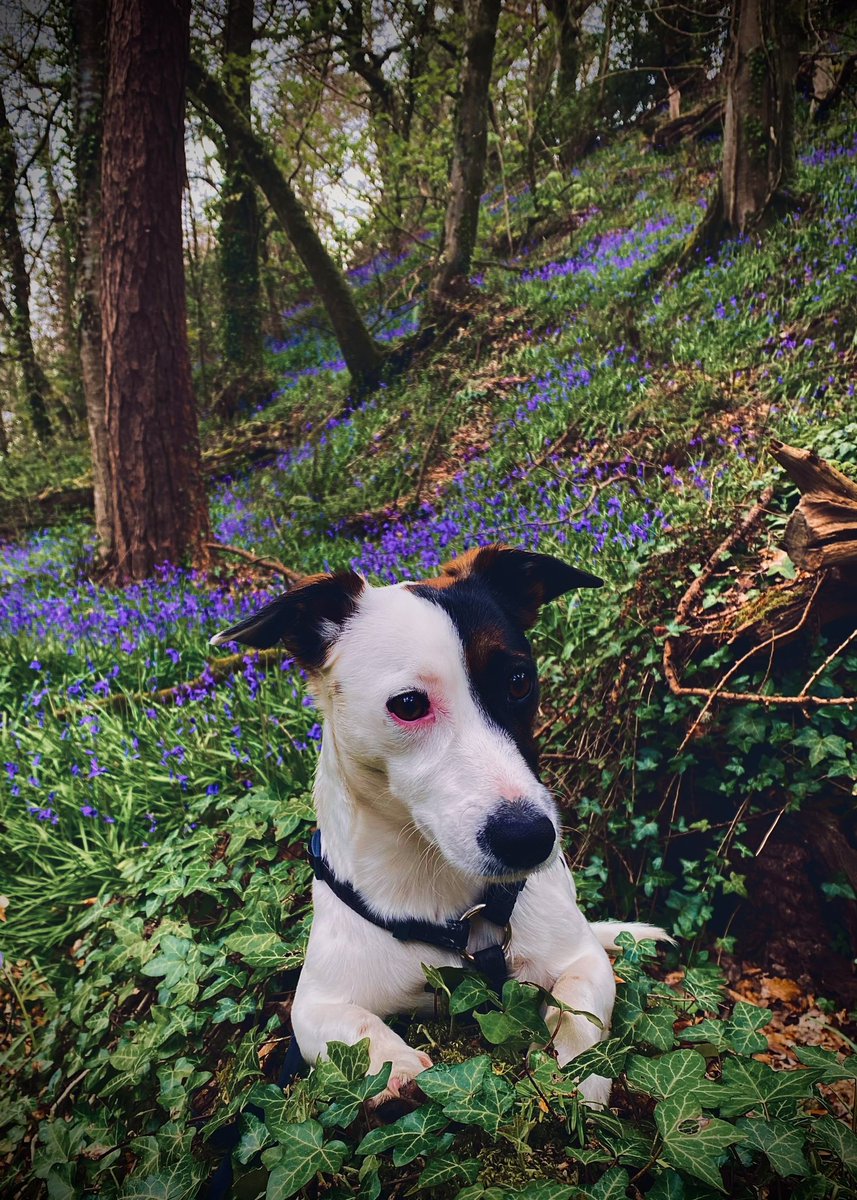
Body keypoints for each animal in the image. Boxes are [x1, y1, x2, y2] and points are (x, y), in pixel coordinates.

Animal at [213, 544, 667, 1104]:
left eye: (519, 681)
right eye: (408, 705)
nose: (530, 840)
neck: (445, 898)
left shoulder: (580, 958)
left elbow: (581, 1006)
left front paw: (577, 1074)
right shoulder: (315, 1005)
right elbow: (354, 1032)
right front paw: (397, 1068)